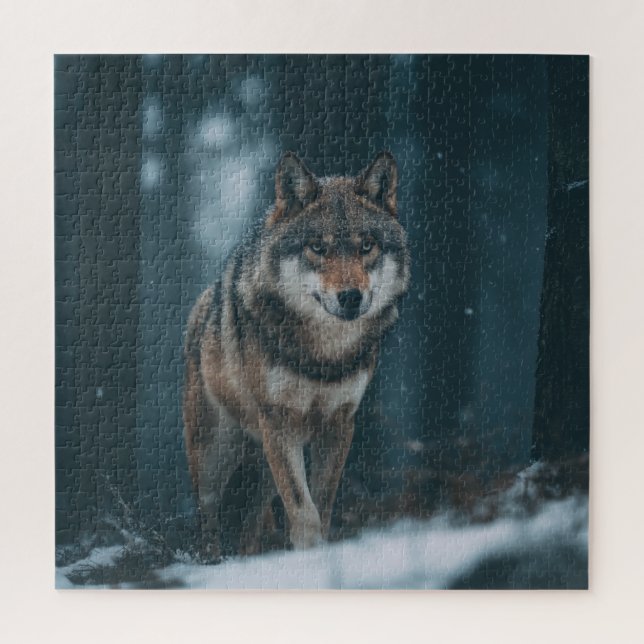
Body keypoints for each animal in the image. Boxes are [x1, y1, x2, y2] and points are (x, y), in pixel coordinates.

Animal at [183, 151, 410, 557]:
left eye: (367, 245)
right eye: (317, 247)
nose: (350, 297)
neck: (324, 356)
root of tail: (202, 305)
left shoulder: (339, 424)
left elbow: (322, 503)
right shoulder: (280, 422)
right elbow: (303, 510)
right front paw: (309, 554)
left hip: (260, 467)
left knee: (252, 523)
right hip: (214, 456)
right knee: (207, 518)